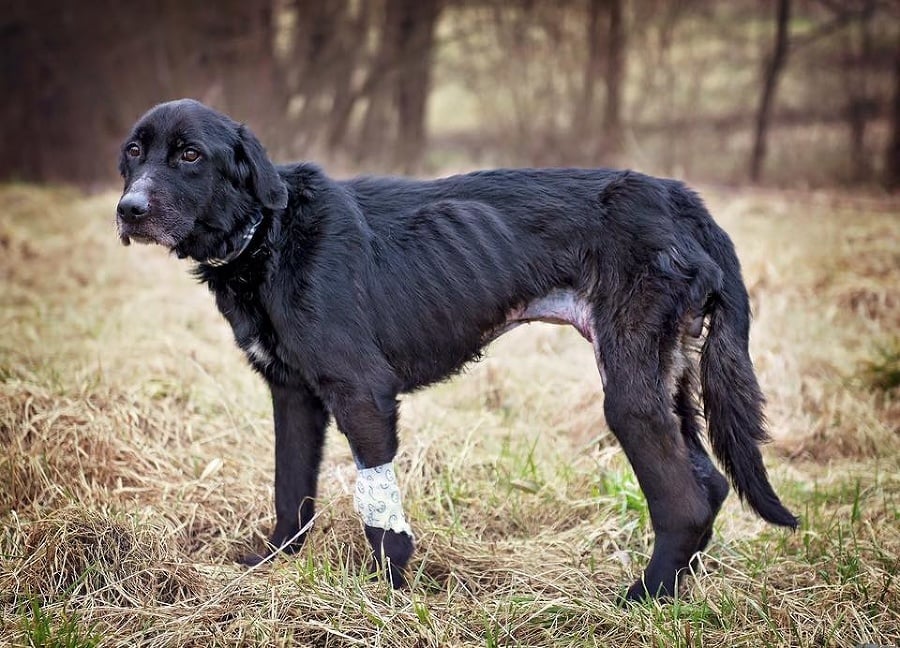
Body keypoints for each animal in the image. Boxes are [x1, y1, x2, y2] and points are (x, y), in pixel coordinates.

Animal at [114, 98, 796, 600]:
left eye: (190, 155)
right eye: (133, 153)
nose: (128, 209)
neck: (268, 235)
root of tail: (681, 198)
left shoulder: (361, 392)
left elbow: (378, 507)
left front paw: (387, 594)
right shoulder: (294, 396)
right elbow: (292, 492)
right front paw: (272, 565)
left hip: (628, 390)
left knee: (684, 501)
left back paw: (642, 599)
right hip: (669, 379)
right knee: (710, 484)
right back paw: (677, 590)